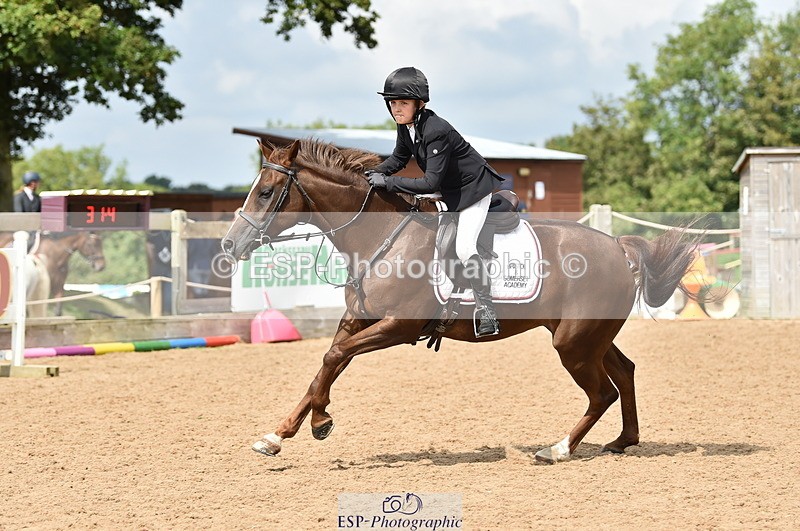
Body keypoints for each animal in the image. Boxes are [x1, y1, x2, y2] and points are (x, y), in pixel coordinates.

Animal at [222, 139, 698, 464]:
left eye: (265, 193)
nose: (229, 244)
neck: (382, 237)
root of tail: (618, 247)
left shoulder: (398, 327)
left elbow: (332, 357)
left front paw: (321, 422)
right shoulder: (357, 321)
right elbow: (326, 365)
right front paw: (278, 435)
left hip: (573, 344)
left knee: (602, 393)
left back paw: (559, 448)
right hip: (589, 336)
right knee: (625, 372)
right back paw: (623, 441)